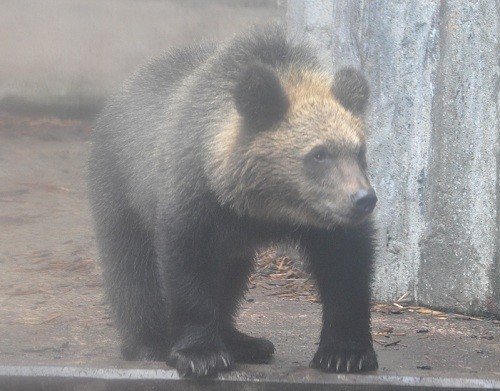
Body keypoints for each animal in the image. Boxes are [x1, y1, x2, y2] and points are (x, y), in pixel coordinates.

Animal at [89, 25, 378, 380]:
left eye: (359, 151)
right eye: (318, 154)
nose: (363, 199)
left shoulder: (325, 223)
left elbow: (346, 268)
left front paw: (345, 354)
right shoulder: (193, 199)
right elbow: (187, 268)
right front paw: (200, 355)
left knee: (230, 278)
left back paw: (246, 342)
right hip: (121, 188)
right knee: (132, 268)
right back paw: (149, 343)